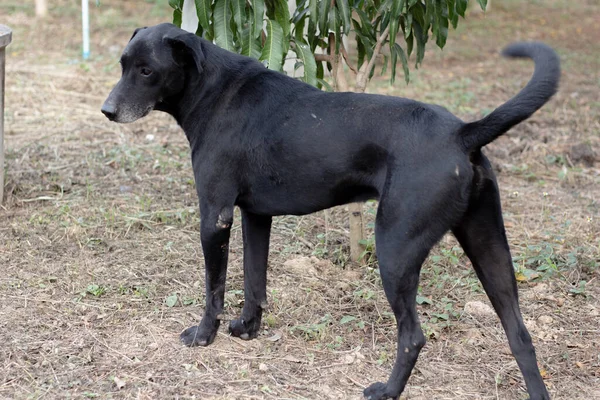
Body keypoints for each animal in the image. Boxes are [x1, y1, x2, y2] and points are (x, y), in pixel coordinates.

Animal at [102, 23, 556, 398]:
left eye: (146, 71)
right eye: (123, 64)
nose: (107, 111)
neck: (214, 90)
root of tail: (463, 133)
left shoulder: (215, 215)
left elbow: (215, 288)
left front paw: (203, 335)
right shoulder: (255, 216)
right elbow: (254, 281)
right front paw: (248, 329)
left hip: (396, 249)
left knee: (413, 336)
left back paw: (386, 391)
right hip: (489, 248)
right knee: (520, 336)